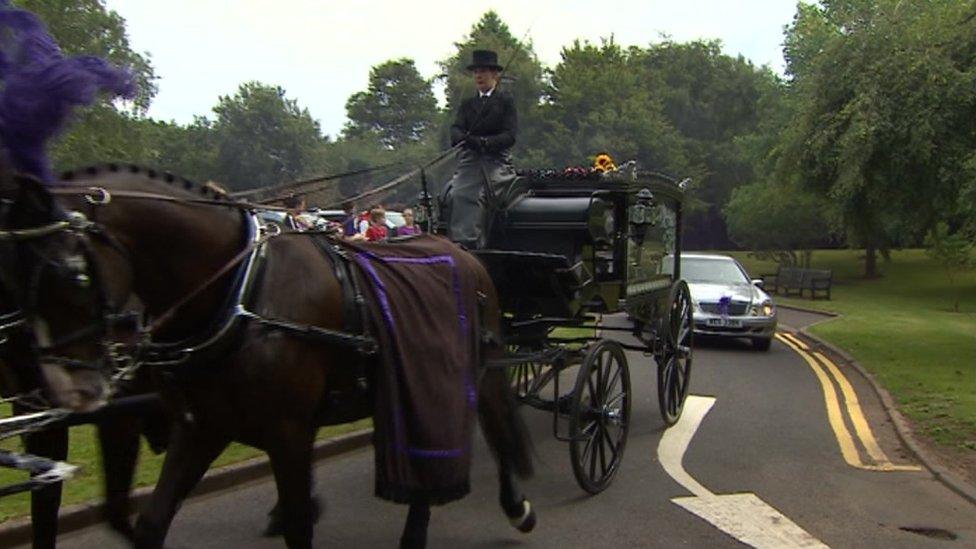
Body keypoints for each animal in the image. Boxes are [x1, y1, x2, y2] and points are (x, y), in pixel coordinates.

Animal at [7, 165, 536, 544]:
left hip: (475, 371)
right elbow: (152, 522)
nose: (65, 388)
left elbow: (300, 523)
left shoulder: (288, 432)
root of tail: (464, 252)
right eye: (18, 275)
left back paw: (517, 506)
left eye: (72, 274)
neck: (242, 292)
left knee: (492, 420)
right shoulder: (202, 427)